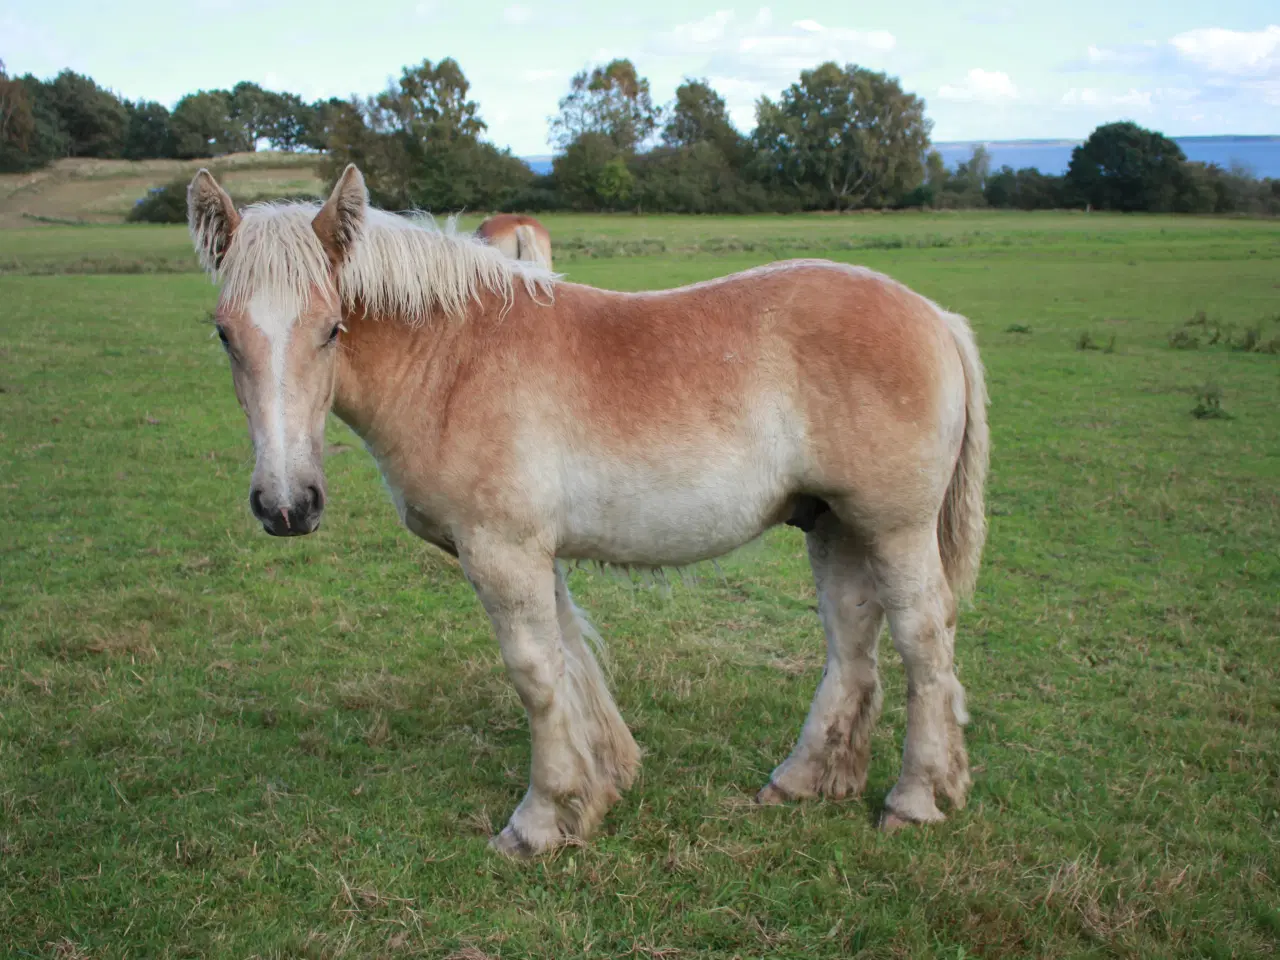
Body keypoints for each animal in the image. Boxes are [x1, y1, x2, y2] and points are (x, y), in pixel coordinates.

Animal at [186, 163, 988, 855]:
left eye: (331, 328)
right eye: (224, 334)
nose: (287, 505)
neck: (454, 362)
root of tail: (937, 317)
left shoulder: (503, 553)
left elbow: (536, 675)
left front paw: (541, 820)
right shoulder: (536, 557)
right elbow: (572, 660)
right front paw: (600, 786)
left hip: (894, 529)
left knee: (924, 644)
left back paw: (916, 797)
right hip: (835, 525)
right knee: (852, 645)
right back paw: (803, 781)